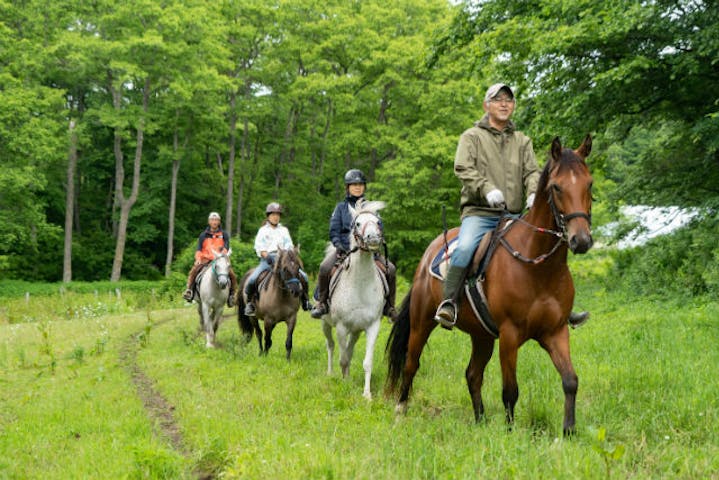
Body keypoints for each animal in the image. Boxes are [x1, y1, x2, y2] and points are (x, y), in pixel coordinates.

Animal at [320, 197, 388, 400]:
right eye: (357, 223)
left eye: (378, 222)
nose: (373, 238)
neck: (360, 286)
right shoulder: (341, 327)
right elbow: (342, 358)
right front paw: (344, 383)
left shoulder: (372, 326)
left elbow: (366, 362)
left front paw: (367, 394)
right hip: (326, 324)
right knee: (331, 346)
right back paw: (330, 373)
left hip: (356, 331)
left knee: (349, 350)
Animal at [388, 135, 596, 436]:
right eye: (556, 187)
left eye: (589, 184)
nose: (581, 240)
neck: (538, 265)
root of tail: (431, 250)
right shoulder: (510, 335)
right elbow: (510, 391)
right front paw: (509, 434)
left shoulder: (555, 332)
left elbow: (570, 380)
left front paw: (568, 431)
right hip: (421, 322)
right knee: (410, 364)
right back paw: (400, 410)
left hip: (482, 336)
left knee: (472, 374)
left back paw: (480, 419)